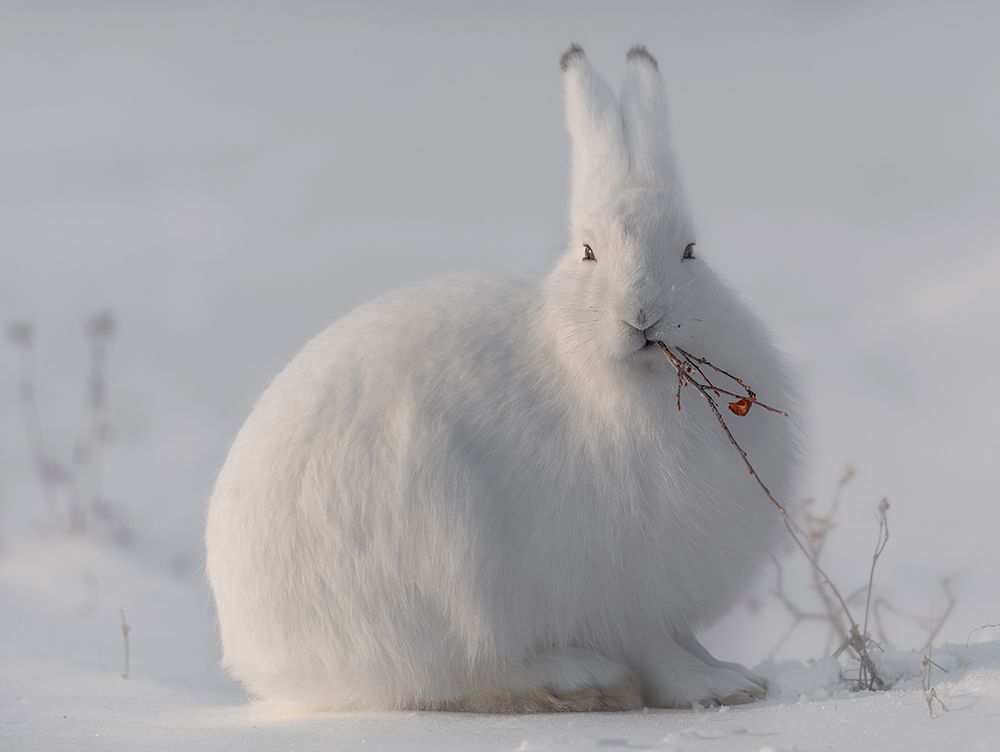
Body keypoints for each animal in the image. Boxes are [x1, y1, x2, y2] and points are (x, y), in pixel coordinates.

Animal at [205, 44, 798, 713]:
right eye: (588, 252)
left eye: (691, 252)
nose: (644, 315)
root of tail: (256, 652)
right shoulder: (618, 583)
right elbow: (655, 650)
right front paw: (711, 688)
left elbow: (683, 639)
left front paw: (737, 676)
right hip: (441, 562)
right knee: (464, 673)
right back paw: (581, 676)